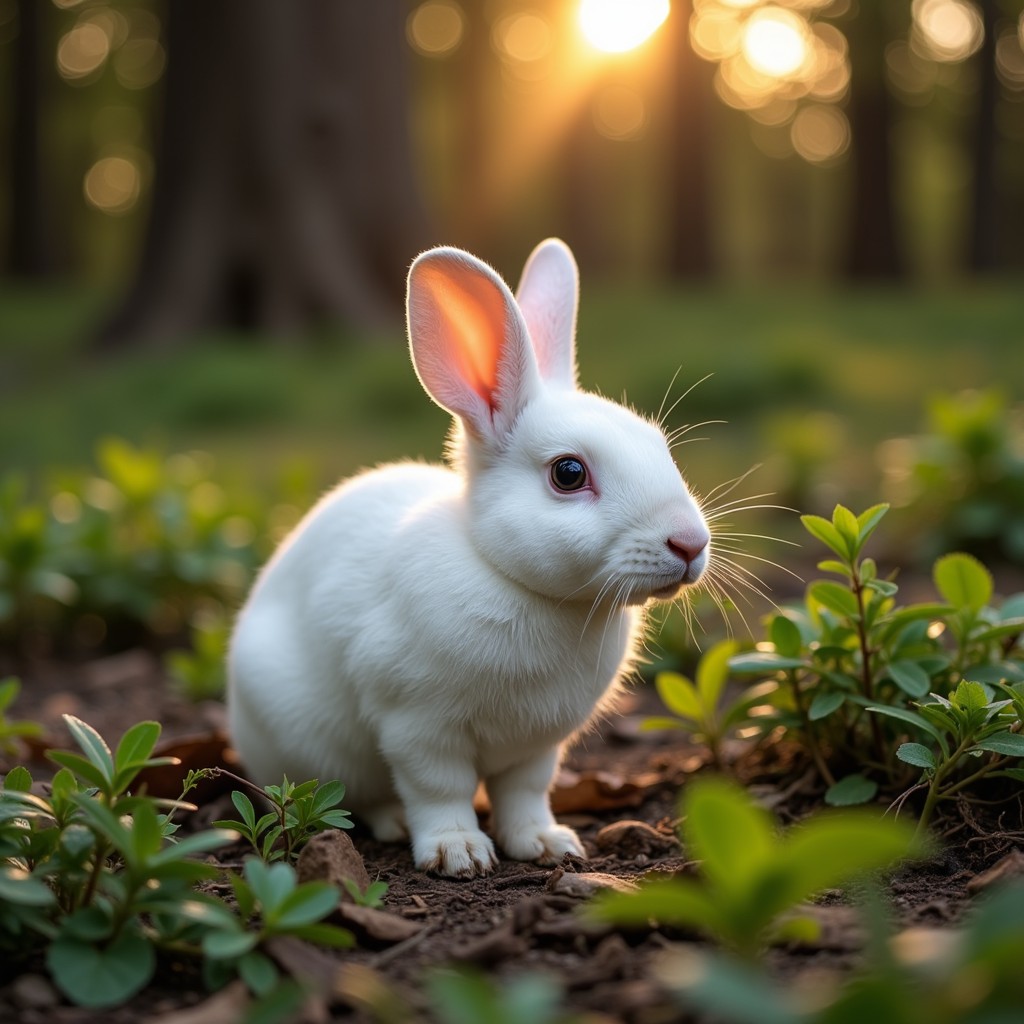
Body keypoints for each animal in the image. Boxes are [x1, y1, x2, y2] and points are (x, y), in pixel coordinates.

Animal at [227, 238, 710, 878]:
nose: (690, 543)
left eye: (659, 445)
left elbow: (524, 793)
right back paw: (394, 822)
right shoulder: (418, 728)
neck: (512, 579)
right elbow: (440, 789)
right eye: (568, 473)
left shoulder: (538, 745)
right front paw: (458, 853)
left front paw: (547, 844)